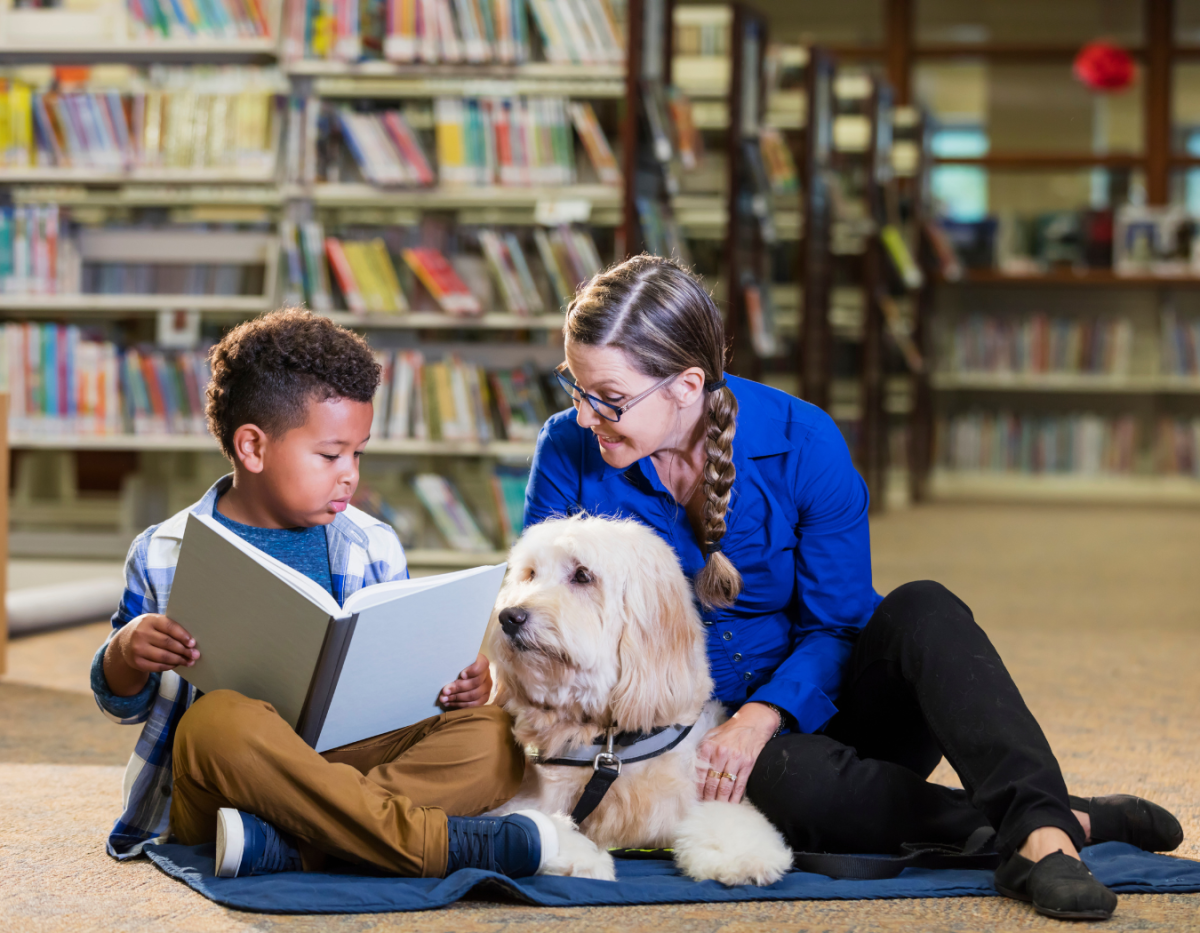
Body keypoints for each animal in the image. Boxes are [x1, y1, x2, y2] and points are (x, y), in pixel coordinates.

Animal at [487, 513, 796, 882]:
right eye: (530, 574)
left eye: (582, 575)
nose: (509, 617)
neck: (608, 739)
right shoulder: (523, 799)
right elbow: (526, 821)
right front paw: (581, 857)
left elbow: (727, 819)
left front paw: (743, 856)